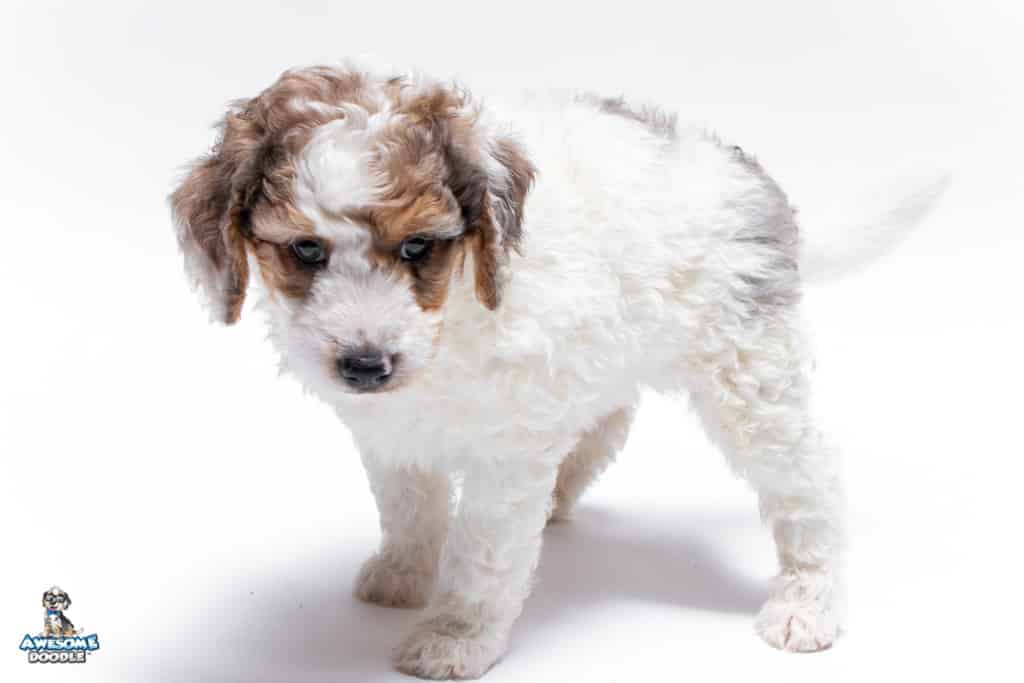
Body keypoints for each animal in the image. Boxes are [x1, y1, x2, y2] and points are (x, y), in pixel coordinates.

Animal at [170, 62, 942, 679]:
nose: (365, 365)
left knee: (808, 484)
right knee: (607, 423)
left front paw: (455, 636)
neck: (456, 316)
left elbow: (482, 552)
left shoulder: (505, 454)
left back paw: (807, 602)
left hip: (751, 380)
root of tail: (753, 184)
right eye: (305, 250)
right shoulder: (394, 435)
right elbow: (410, 510)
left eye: (418, 246)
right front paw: (403, 575)